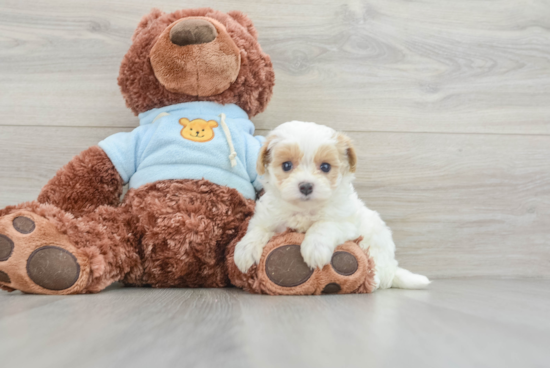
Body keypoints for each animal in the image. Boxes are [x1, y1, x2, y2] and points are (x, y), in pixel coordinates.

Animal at [235, 122, 434, 292]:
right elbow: (257, 230)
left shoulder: (345, 221)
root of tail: (393, 268)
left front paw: (314, 249)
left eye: (325, 167)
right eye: (286, 165)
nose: (306, 186)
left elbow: (323, 224)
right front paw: (245, 251)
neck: (304, 209)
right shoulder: (267, 216)